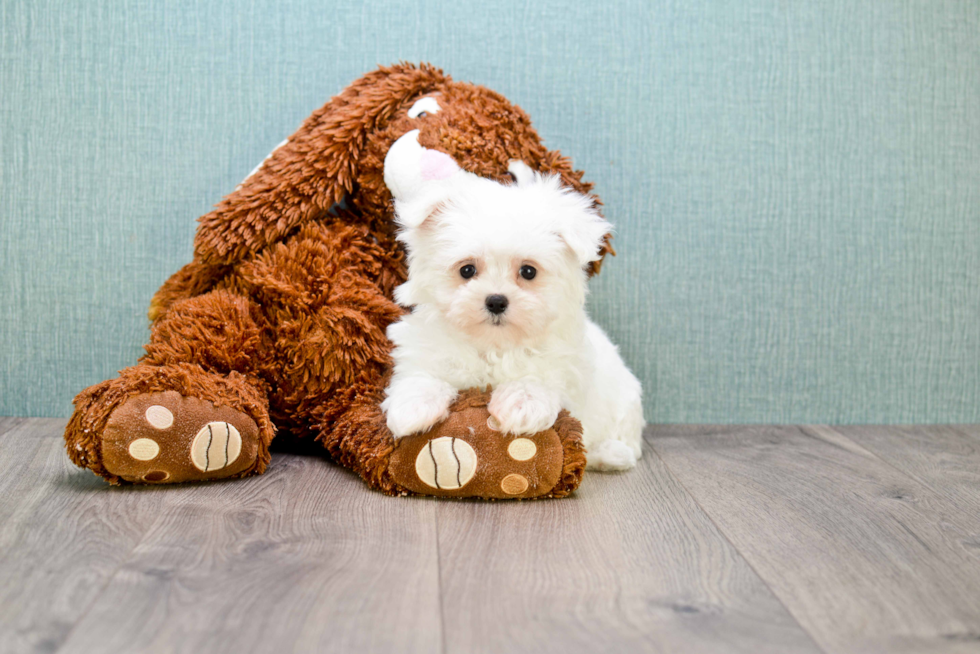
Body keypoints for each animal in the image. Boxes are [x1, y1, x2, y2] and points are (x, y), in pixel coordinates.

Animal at [380, 132, 644, 472]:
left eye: (528, 271)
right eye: (467, 270)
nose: (495, 301)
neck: (494, 344)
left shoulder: (563, 363)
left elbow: (537, 375)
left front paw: (521, 404)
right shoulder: (427, 348)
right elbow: (422, 374)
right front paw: (413, 408)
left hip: (625, 404)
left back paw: (610, 453)